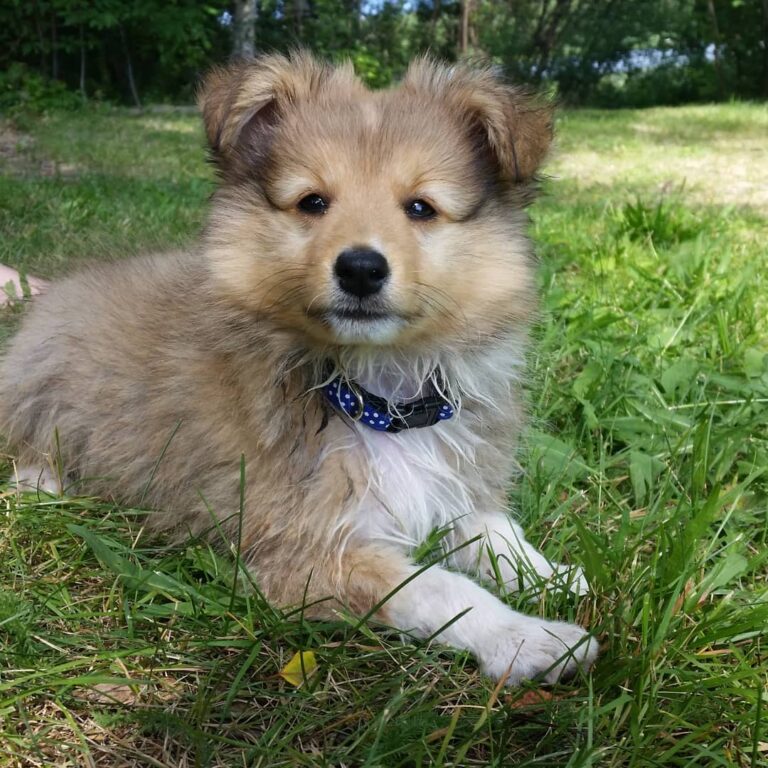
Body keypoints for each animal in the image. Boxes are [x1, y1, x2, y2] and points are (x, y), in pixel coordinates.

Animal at [0, 54, 600, 684]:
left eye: (420, 208)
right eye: (313, 202)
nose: (360, 268)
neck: (374, 394)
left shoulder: (450, 484)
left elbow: (497, 533)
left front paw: (555, 576)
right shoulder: (303, 549)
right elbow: (438, 588)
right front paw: (530, 639)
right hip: (42, 382)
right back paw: (42, 487)